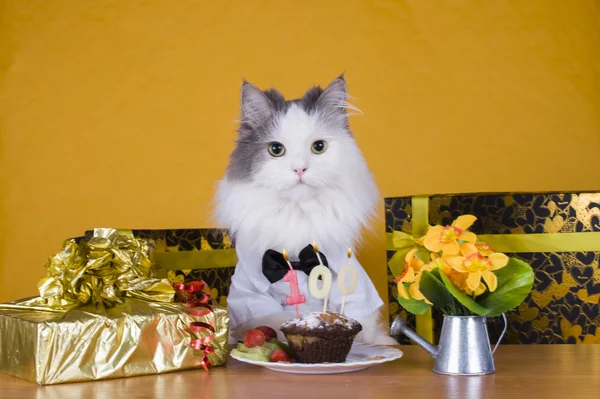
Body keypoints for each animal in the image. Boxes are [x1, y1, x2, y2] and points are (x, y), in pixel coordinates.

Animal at [213, 76, 396, 346]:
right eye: (276, 150)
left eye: (318, 147)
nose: (300, 169)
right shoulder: (252, 295)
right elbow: (273, 321)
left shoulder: (356, 288)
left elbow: (363, 326)